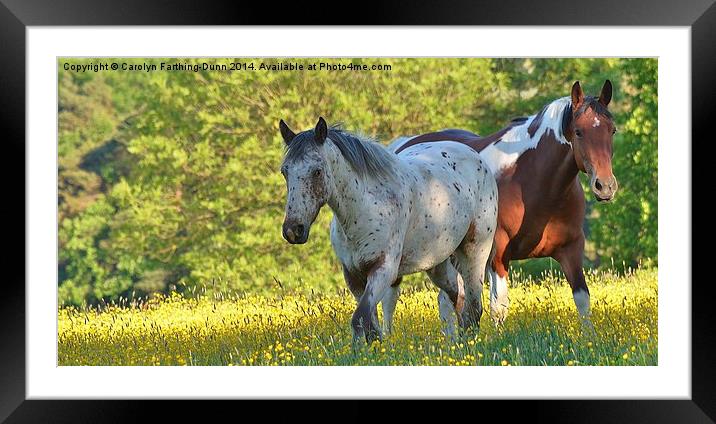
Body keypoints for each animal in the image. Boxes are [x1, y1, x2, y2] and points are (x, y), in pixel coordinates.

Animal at [280, 117, 498, 342]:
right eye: (285, 171)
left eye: (317, 171)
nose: (293, 230)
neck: (365, 208)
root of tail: (476, 157)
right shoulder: (354, 276)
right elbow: (370, 327)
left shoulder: (383, 270)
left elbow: (360, 319)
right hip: (439, 265)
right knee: (459, 298)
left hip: (474, 254)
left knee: (473, 308)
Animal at [388, 79, 620, 324]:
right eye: (578, 131)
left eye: (612, 130)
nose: (605, 186)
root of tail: (403, 145)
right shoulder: (498, 257)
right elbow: (498, 309)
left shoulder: (571, 250)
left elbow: (583, 302)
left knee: (447, 301)